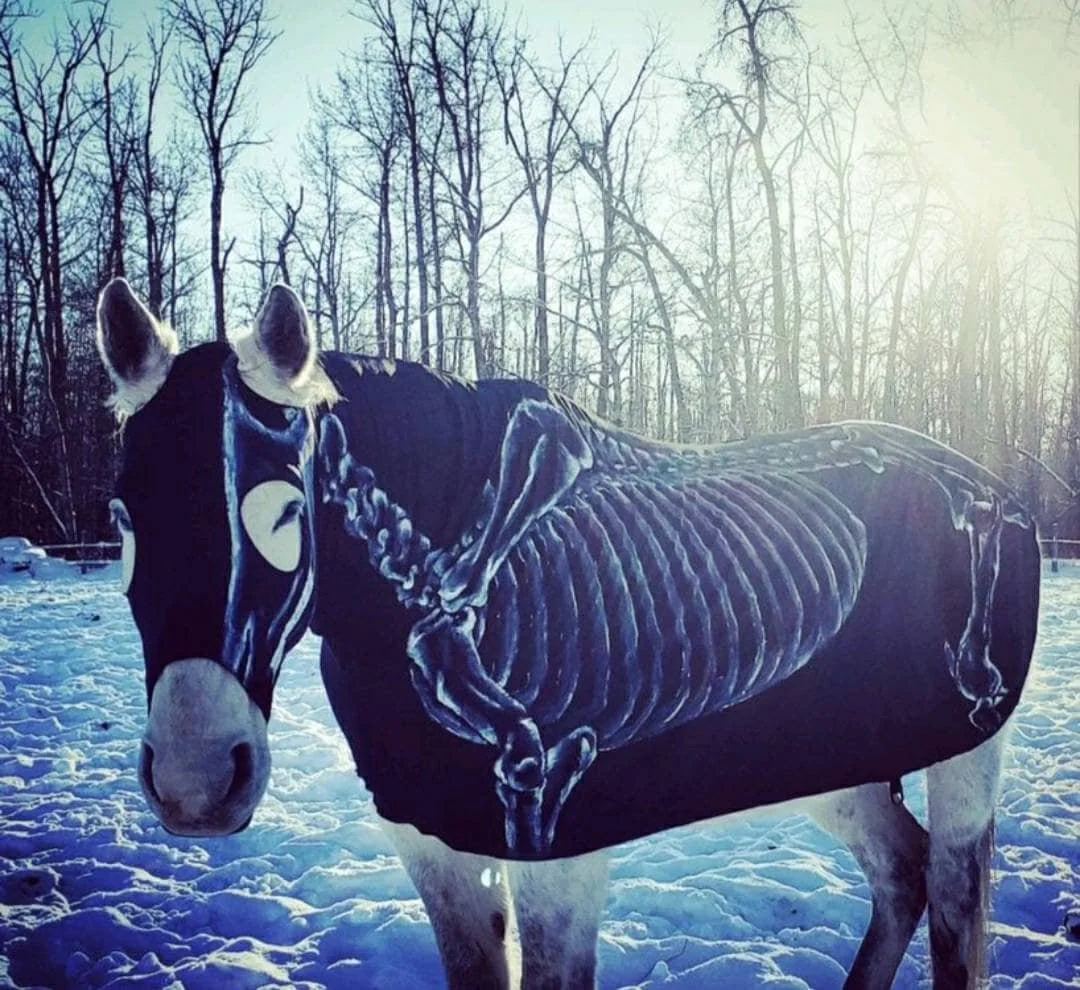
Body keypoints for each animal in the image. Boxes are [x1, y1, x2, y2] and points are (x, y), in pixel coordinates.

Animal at [96, 277, 1040, 989]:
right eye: (123, 517)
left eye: (288, 513)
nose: (193, 783)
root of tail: (989, 487)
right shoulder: (432, 843)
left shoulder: (559, 851)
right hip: (831, 763)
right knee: (903, 873)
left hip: (965, 755)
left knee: (953, 903)